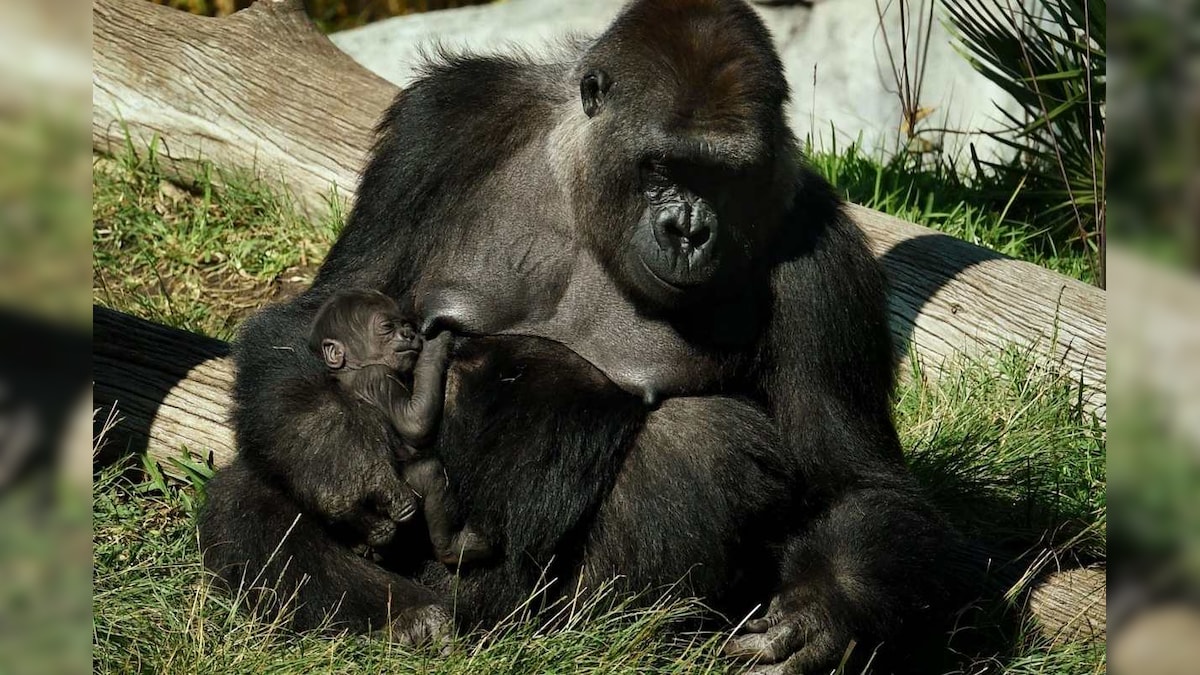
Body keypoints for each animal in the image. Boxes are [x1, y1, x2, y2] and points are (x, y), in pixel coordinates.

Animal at [314, 285, 496, 564]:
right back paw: (454, 547)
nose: (409, 333)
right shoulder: (377, 377)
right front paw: (435, 348)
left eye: (405, 324)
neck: (351, 370)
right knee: (430, 473)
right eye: (387, 327)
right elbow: (415, 423)